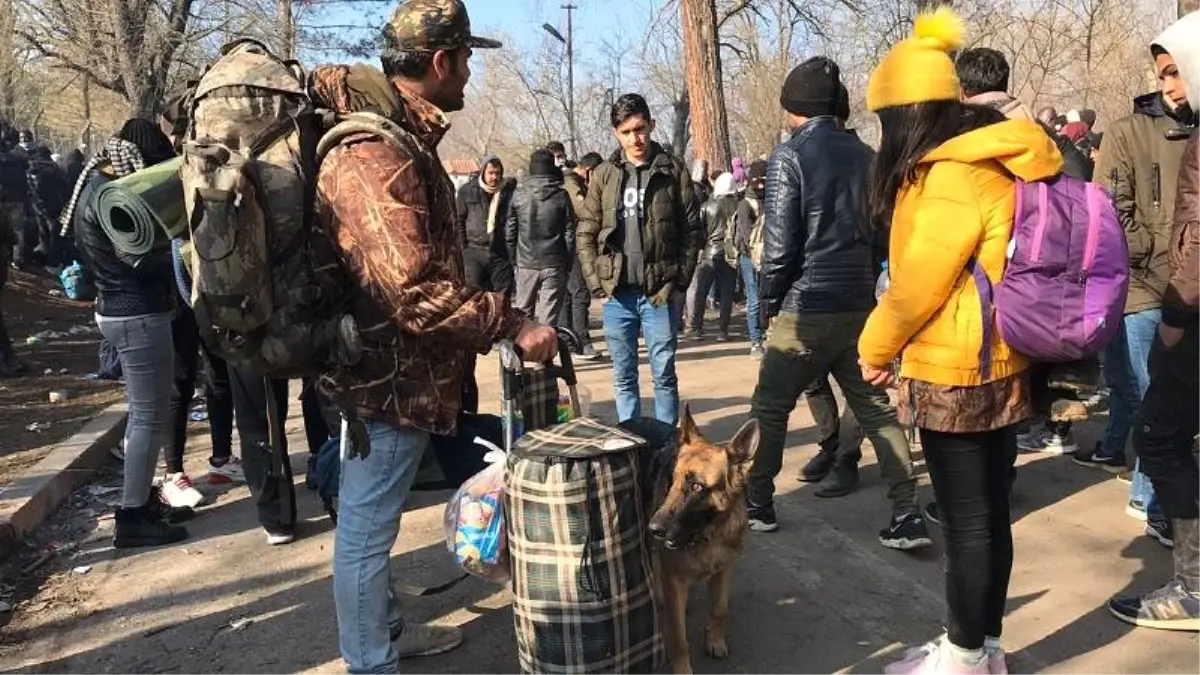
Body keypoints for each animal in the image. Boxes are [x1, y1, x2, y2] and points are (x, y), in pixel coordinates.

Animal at [648, 403, 758, 672]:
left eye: (697, 487)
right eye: (671, 480)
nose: (653, 528)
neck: (709, 535)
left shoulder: (725, 570)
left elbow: (720, 608)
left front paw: (715, 640)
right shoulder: (674, 581)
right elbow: (679, 639)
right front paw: (682, 669)